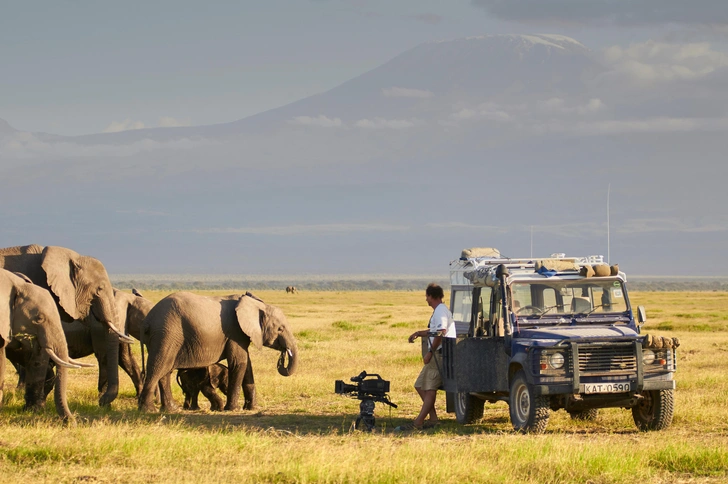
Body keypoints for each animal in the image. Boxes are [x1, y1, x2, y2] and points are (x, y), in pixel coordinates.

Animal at [138, 292, 298, 412]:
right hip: (167, 333)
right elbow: (239, 362)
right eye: (280, 329)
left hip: (163, 336)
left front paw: (251, 408)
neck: (256, 304)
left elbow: (247, 365)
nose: (282, 357)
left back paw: (171, 409)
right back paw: (148, 410)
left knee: (165, 370)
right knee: (158, 367)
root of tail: (148, 321)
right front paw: (233, 409)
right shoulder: (235, 332)